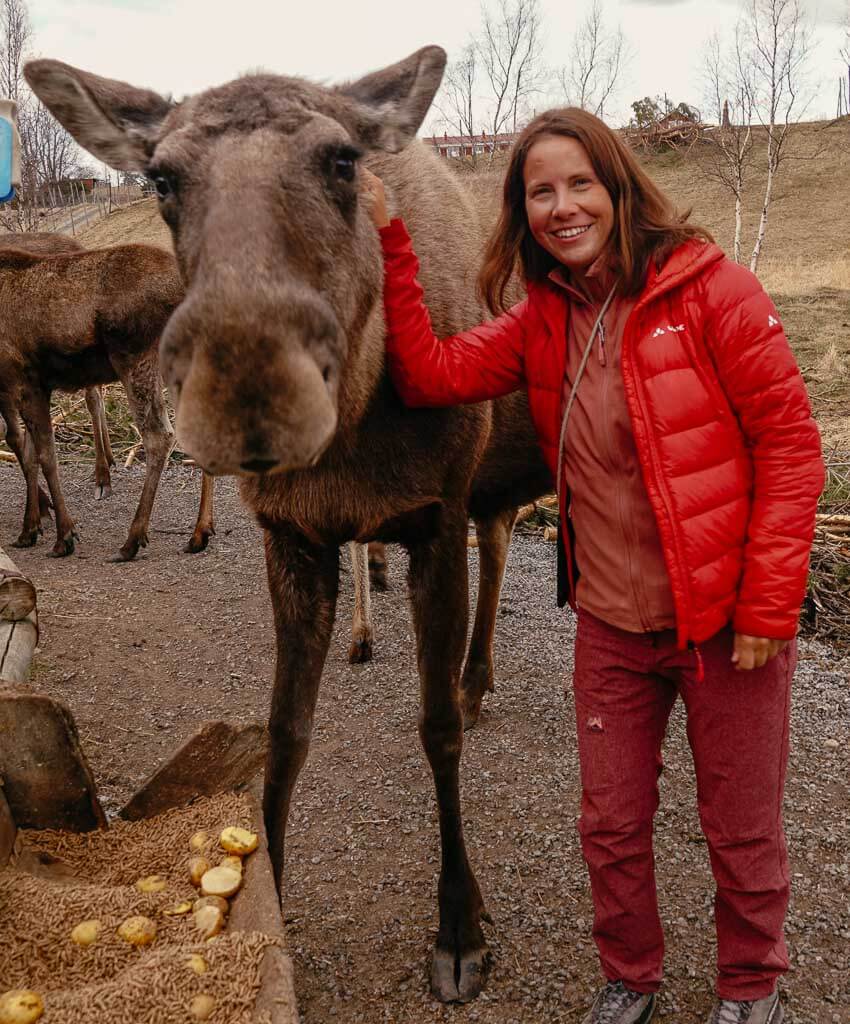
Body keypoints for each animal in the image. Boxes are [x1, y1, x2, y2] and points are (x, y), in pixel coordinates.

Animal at [26, 47, 553, 1002]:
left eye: (343, 159)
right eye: (161, 176)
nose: (250, 383)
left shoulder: (434, 516)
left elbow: (435, 730)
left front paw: (459, 925)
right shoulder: (292, 538)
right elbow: (283, 731)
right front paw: (263, 889)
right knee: (501, 534)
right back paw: (479, 674)